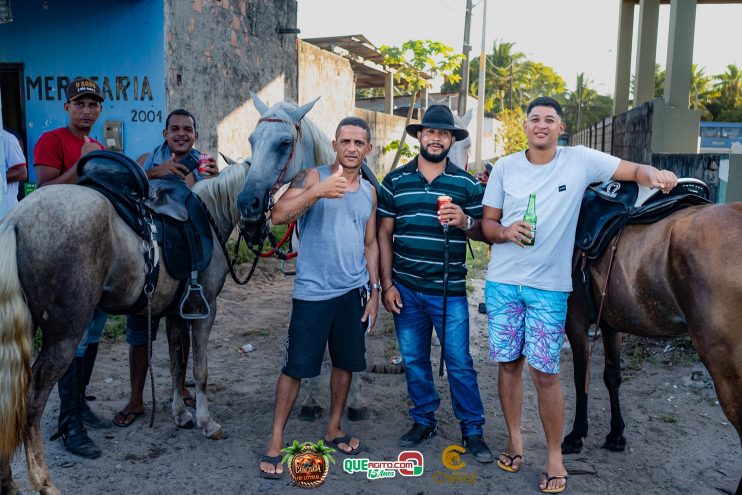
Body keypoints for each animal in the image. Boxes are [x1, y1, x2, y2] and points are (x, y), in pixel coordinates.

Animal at [564, 203, 742, 490]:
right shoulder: (611, 323)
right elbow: (612, 376)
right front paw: (616, 435)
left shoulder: (575, 319)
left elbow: (582, 377)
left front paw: (576, 436)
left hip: (723, 361)